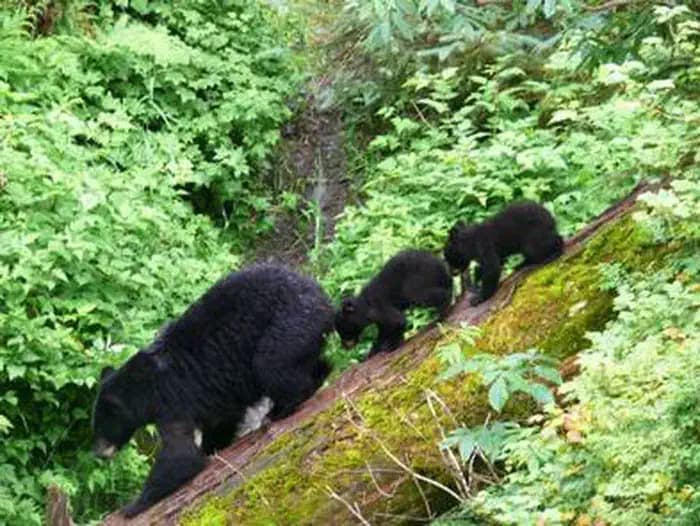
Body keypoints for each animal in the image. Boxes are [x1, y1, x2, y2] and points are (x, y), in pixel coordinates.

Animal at [91, 264, 333, 518]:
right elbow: (221, 422)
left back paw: (279, 409)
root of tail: (320, 293)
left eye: (101, 427)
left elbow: (180, 454)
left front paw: (132, 505)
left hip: (288, 322)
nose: (98, 452)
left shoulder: (172, 400)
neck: (145, 387)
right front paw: (212, 446)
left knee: (271, 363)